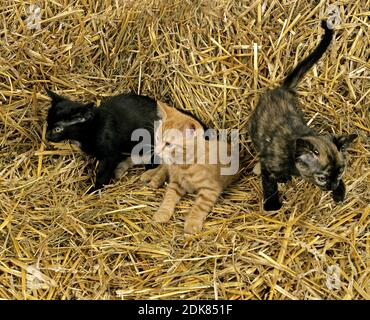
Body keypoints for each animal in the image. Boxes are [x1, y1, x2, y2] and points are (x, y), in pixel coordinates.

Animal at [142, 102, 240, 235]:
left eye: (168, 144)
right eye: (157, 138)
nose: (156, 151)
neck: (184, 165)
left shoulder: (211, 189)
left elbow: (200, 206)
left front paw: (192, 222)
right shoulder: (176, 183)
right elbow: (169, 197)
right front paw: (163, 212)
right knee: (163, 166)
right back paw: (151, 176)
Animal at [247, 20, 356, 210]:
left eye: (340, 172)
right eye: (322, 178)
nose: (333, 185)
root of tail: (282, 89)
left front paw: (340, 192)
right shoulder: (268, 165)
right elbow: (269, 185)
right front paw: (272, 205)